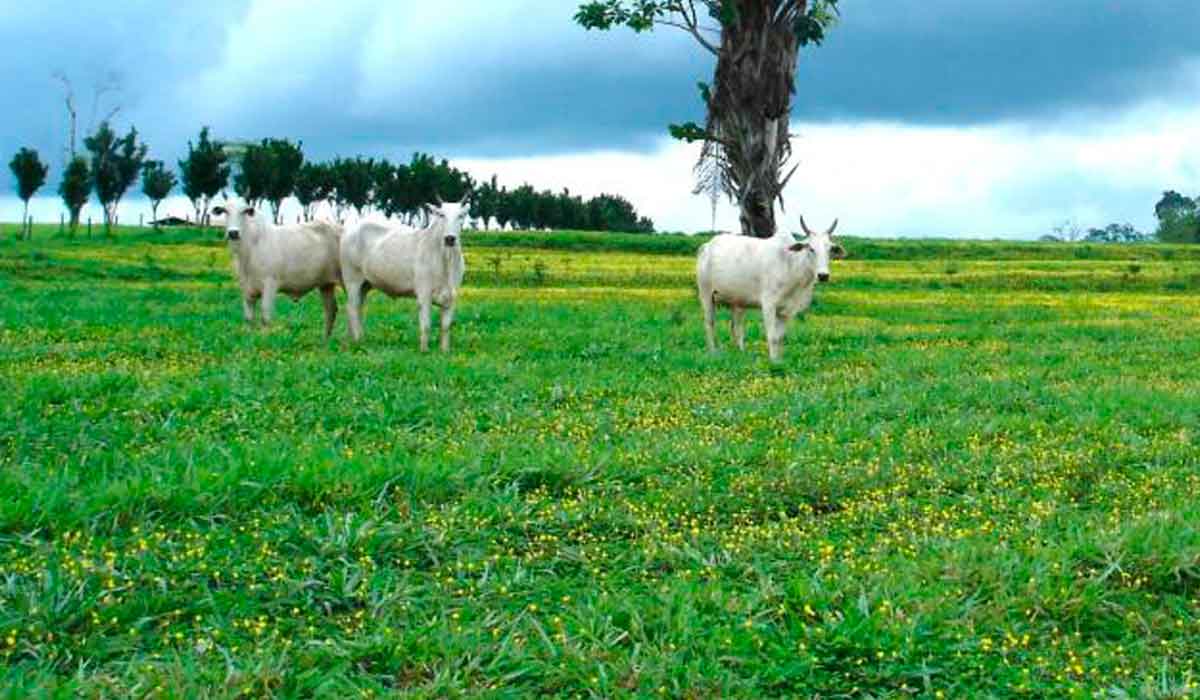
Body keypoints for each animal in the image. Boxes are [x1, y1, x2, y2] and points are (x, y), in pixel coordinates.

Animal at [211, 198, 340, 338]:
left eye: (244, 211)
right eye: (225, 211)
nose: (233, 233)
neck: (249, 250)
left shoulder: (270, 284)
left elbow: (265, 317)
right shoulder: (246, 288)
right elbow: (249, 318)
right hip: (326, 284)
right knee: (331, 310)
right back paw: (325, 339)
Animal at [340, 198, 470, 353]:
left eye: (461, 215)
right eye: (441, 214)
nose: (450, 238)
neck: (446, 261)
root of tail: (351, 229)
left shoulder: (452, 295)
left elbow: (446, 326)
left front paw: (444, 351)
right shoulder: (424, 293)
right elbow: (426, 325)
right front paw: (424, 350)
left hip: (365, 284)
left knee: (358, 306)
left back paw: (358, 338)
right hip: (352, 279)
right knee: (352, 307)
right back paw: (358, 340)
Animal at [696, 217, 844, 362]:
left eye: (830, 249)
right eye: (811, 248)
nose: (823, 275)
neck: (790, 264)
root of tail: (707, 246)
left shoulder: (787, 310)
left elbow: (780, 337)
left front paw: (778, 360)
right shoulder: (768, 304)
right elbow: (772, 336)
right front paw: (772, 361)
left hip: (737, 302)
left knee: (736, 327)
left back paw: (741, 353)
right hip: (706, 294)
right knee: (709, 323)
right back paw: (713, 352)